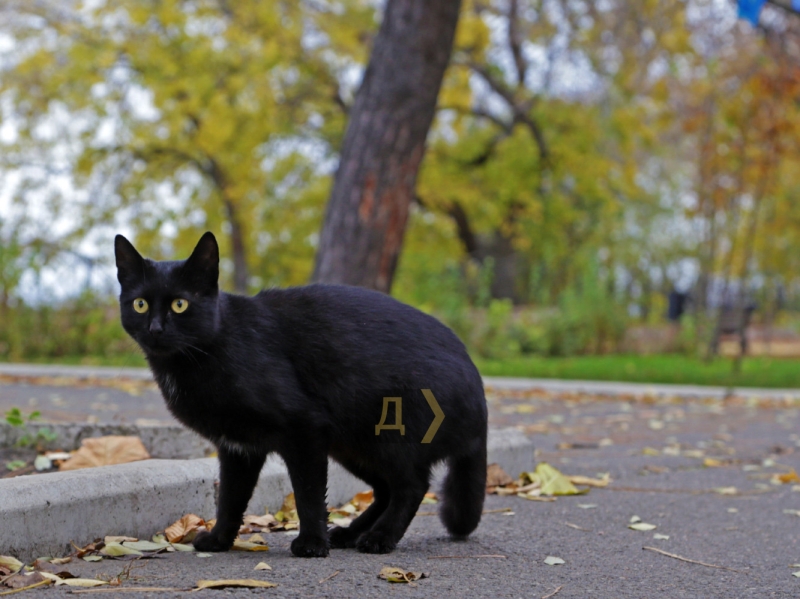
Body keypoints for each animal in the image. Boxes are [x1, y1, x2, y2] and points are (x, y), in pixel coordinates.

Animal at [114, 231, 488, 556]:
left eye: (180, 304)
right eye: (140, 304)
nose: (155, 329)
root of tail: (478, 393)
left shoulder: (303, 430)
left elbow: (308, 494)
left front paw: (311, 544)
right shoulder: (238, 448)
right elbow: (231, 499)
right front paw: (219, 540)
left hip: (389, 438)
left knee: (412, 486)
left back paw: (379, 538)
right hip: (352, 446)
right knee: (385, 490)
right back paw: (351, 533)